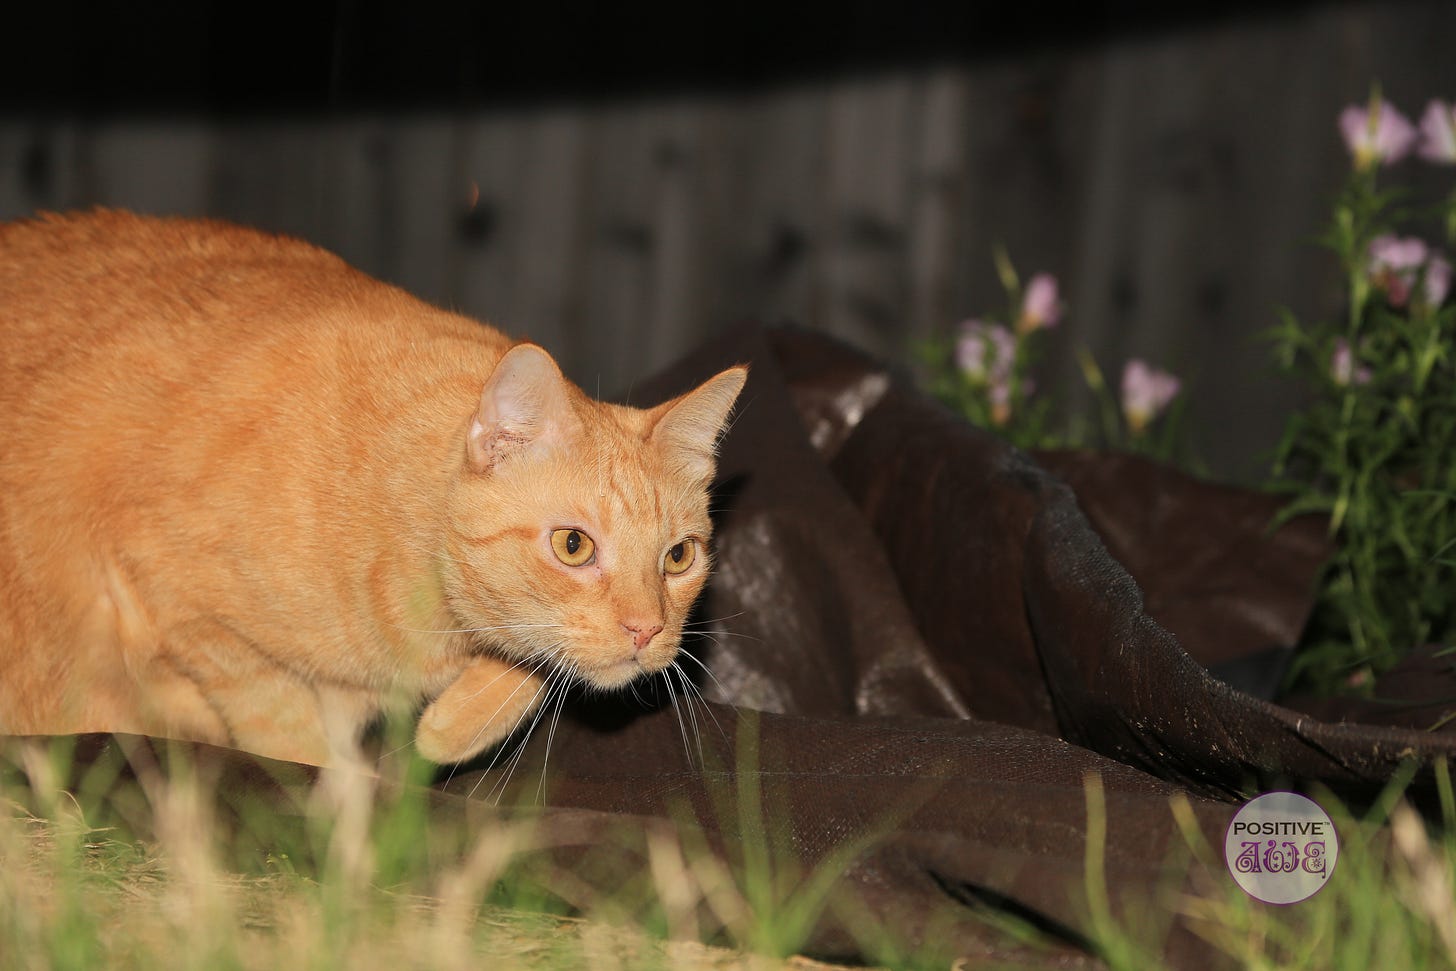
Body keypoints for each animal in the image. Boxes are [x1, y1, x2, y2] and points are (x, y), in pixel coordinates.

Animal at [0, 211, 745, 768]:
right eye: (572, 546)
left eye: (679, 557)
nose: (648, 629)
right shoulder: (172, 595)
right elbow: (281, 730)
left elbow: (529, 666)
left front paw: (449, 728)